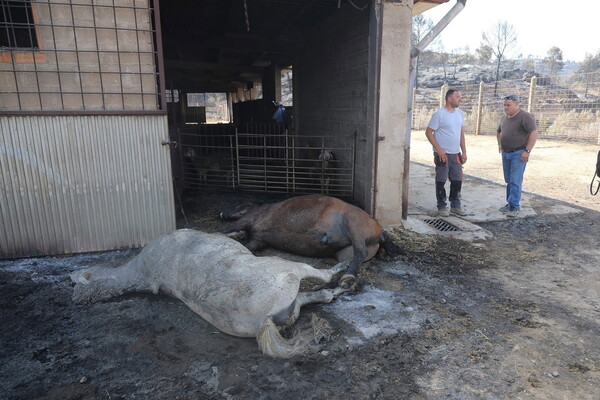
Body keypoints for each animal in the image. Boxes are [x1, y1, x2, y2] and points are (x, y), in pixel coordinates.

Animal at [70, 230, 350, 358]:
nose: (75, 300)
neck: (144, 270)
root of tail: (264, 322)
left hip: (288, 308)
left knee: (315, 297)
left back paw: (340, 287)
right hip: (288, 270)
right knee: (319, 276)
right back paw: (344, 275)